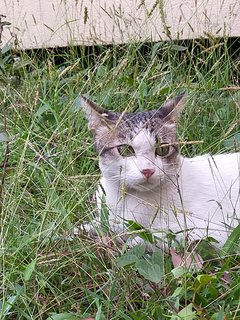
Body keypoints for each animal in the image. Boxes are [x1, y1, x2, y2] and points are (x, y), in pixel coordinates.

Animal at [81, 94, 239, 246]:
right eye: (125, 150)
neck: (128, 198)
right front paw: (86, 228)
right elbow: (105, 223)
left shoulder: (217, 230)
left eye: (162, 149)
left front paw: (137, 240)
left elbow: (167, 236)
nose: (148, 170)